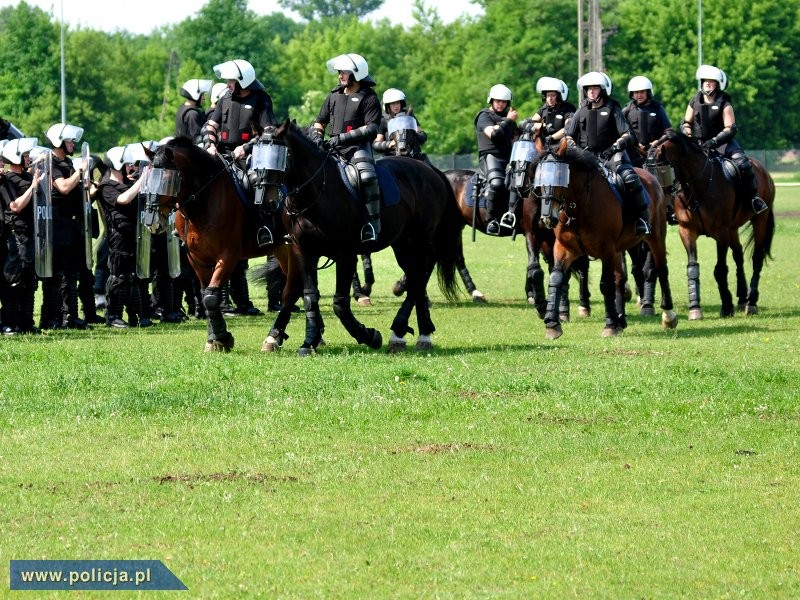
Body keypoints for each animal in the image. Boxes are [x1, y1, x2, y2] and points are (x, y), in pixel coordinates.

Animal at [142, 136, 304, 352]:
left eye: (167, 181)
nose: (152, 222)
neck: (204, 201)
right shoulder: (197, 259)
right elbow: (205, 295)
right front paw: (214, 339)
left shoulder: (228, 256)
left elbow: (211, 297)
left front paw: (221, 338)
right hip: (282, 248)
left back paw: (276, 338)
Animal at [272, 122, 460, 356]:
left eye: (277, 154)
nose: (258, 185)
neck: (317, 192)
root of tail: (428, 170)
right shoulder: (304, 251)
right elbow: (309, 295)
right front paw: (308, 341)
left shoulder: (345, 254)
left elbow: (340, 303)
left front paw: (369, 336)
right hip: (403, 244)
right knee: (415, 277)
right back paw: (414, 331)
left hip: (420, 240)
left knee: (419, 277)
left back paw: (407, 331)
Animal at [528, 141, 680, 338]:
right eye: (538, 179)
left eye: (560, 176)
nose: (547, 217)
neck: (579, 207)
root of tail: (650, 178)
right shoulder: (564, 248)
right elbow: (556, 278)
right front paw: (552, 324)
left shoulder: (606, 250)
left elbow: (605, 284)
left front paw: (609, 325)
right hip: (619, 250)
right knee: (620, 278)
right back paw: (620, 319)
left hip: (655, 237)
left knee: (661, 269)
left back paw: (668, 316)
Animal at [656, 131, 776, 318]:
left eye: (662, 171)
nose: (663, 204)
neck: (698, 186)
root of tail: (763, 171)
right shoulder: (687, 231)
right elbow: (692, 267)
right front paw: (695, 307)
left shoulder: (721, 233)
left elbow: (720, 269)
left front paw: (726, 307)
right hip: (733, 229)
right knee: (738, 255)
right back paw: (743, 298)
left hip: (760, 220)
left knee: (757, 258)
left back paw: (751, 302)